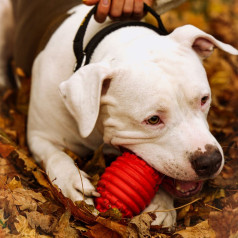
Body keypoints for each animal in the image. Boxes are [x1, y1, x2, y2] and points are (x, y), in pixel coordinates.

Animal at [0, 0, 237, 228]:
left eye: (204, 99)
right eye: (153, 119)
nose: (210, 160)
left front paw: (161, 204)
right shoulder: (39, 135)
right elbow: (56, 156)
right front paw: (73, 182)